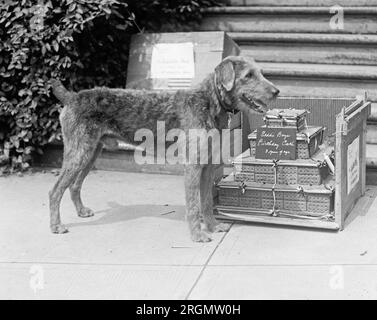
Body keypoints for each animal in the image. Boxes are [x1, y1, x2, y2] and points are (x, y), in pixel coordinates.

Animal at [50, 55, 278, 240]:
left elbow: (205, 203)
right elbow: (194, 205)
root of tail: (71, 97)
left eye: (260, 72)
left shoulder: (207, 167)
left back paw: (81, 211)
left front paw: (212, 227)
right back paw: (56, 226)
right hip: (79, 153)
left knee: (74, 185)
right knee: (55, 190)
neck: (208, 102)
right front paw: (197, 235)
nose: (276, 91)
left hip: (90, 153)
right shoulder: (193, 167)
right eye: (248, 75)